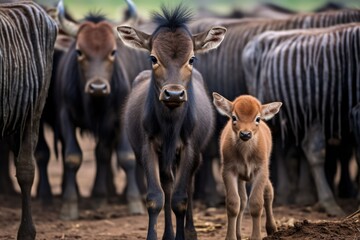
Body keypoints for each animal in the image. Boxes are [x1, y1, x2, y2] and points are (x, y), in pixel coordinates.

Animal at [116, 5, 226, 240]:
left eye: (192, 59)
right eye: (153, 58)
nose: (174, 93)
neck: (170, 126)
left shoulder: (189, 147)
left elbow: (180, 199)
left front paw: (184, 235)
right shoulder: (148, 145)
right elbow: (155, 197)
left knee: (189, 187)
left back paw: (191, 231)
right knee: (167, 185)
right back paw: (168, 233)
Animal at [214, 93, 282, 240]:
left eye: (257, 118)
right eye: (234, 117)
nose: (245, 134)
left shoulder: (261, 170)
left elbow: (256, 203)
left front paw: (256, 236)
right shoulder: (228, 171)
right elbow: (233, 203)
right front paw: (231, 237)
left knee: (268, 193)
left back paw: (272, 229)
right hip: (241, 178)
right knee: (243, 200)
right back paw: (239, 234)